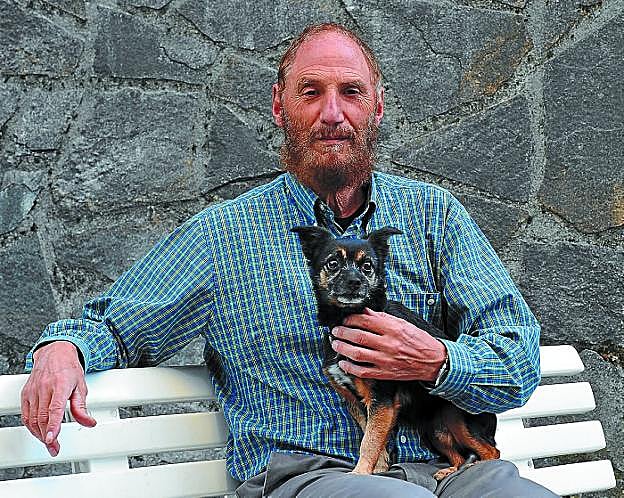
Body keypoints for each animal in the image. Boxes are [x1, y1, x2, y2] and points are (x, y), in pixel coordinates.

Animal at [292, 225, 499, 477]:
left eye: (367, 266)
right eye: (332, 263)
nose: (354, 282)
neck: (347, 318)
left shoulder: (382, 400)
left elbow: (370, 441)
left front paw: (360, 473)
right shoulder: (356, 402)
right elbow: (372, 439)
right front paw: (378, 470)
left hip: (459, 420)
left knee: (492, 452)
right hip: (435, 429)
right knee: (458, 455)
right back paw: (449, 471)